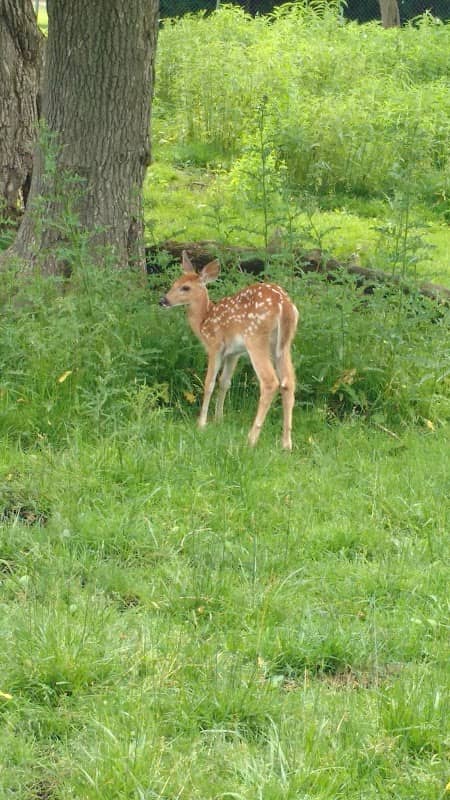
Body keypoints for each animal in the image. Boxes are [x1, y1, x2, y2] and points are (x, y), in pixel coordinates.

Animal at [159, 251, 299, 449]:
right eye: (174, 283)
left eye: (185, 287)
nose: (163, 300)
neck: (203, 321)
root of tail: (284, 305)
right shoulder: (234, 353)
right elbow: (224, 382)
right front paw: (219, 419)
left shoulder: (215, 345)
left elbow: (209, 383)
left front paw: (201, 424)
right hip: (282, 345)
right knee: (288, 382)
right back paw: (286, 443)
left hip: (255, 337)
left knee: (270, 382)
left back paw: (251, 439)